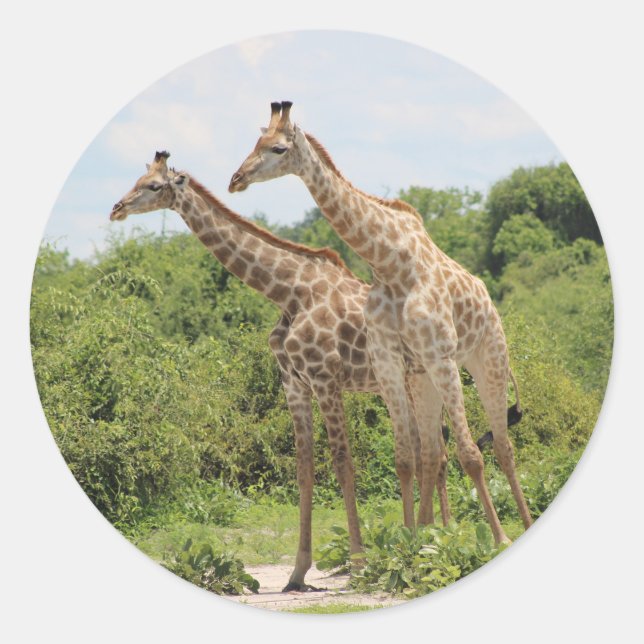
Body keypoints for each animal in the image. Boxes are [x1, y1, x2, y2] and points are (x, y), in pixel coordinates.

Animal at [109, 150, 450, 591]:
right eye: (136, 179)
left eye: (153, 186)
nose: (116, 208)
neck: (288, 292)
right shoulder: (293, 383)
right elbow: (304, 469)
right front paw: (298, 572)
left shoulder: (325, 378)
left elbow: (343, 464)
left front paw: (358, 564)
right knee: (436, 454)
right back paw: (436, 535)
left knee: (436, 454)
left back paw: (434, 538)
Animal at [229, 102, 533, 544]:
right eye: (256, 143)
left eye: (278, 148)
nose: (236, 179)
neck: (389, 263)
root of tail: (488, 297)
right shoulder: (389, 361)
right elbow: (405, 458)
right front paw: (409, 540)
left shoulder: (441, 357)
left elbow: (471, 455)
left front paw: (498, 538)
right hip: (422, 379)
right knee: (435, 453)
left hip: (487, 358)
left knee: (502, 447)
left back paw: (520, 527)